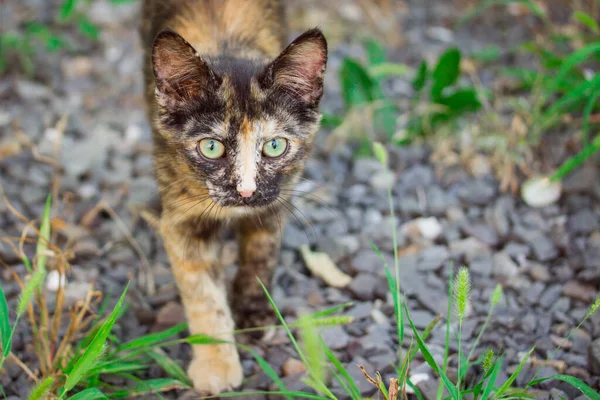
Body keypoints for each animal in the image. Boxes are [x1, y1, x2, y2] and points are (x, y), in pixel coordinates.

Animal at [139, 0, 328, 394]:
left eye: (275, 146)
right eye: (211, 147)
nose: (246, 190)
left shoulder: (275, 200)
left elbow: (261, 257)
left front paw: (254, 313)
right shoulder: (182, 220)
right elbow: (204, 294)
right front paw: (216, 364)